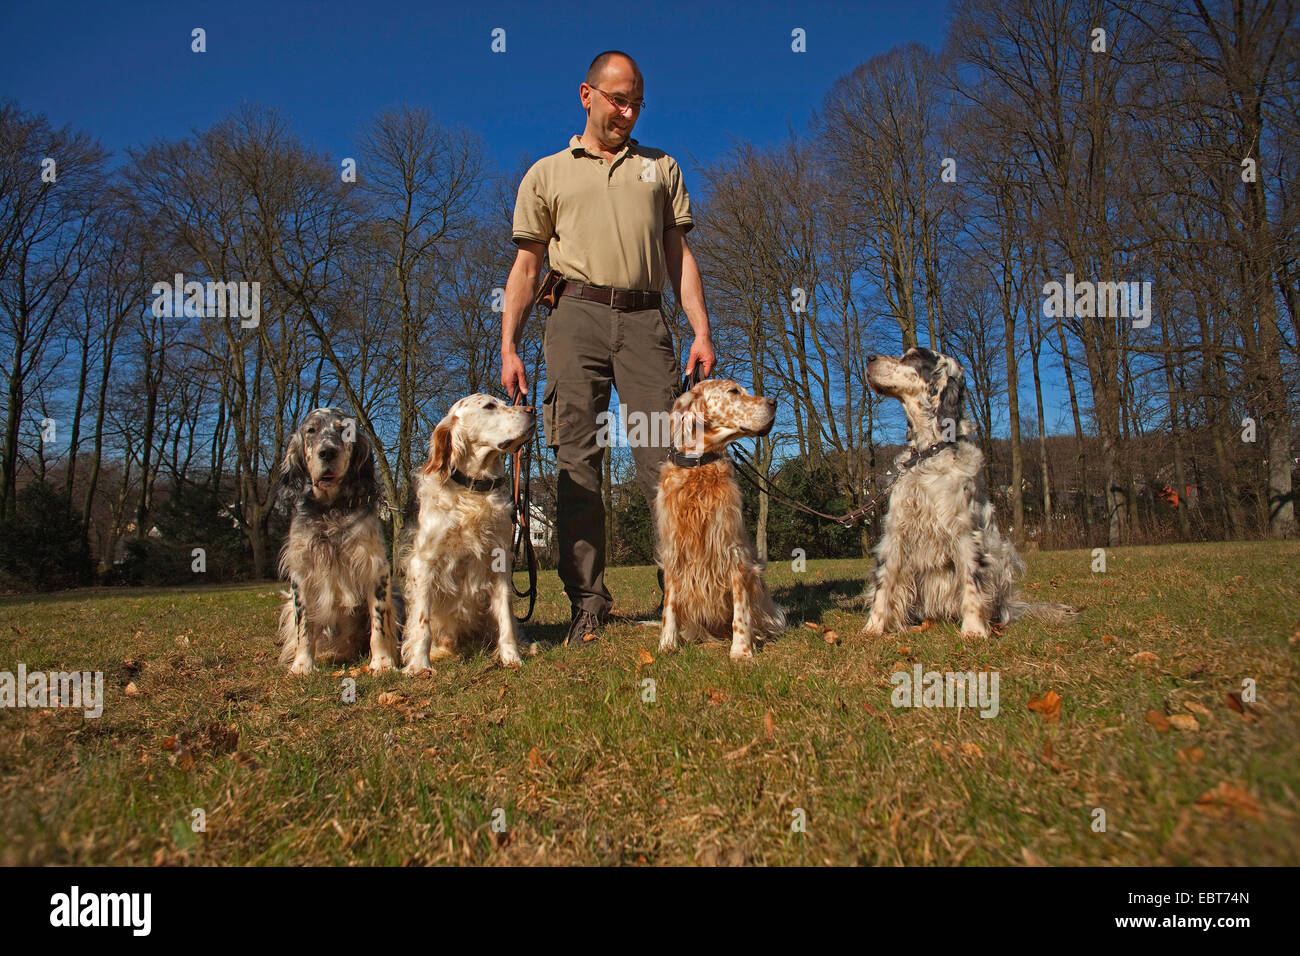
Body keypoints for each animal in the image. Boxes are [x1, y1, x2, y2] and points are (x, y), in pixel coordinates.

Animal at [274, 408, 395, 676]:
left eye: (344, 430)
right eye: (311, 430)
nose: (327, 452)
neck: (330, 508)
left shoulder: (375, 568)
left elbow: (379, 623)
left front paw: (383, 662)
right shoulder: (301, 573)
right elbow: (304, 628)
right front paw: (302, 666)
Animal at [400, 392, 533, 671]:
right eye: (490, 406)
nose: (532, 409)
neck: (473, 490)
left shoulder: (499, 561)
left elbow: (506, 618)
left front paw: (511, 657)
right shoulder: (423, 563)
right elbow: (421, 622)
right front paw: (419, 665)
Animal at [655, 377, 785, 660]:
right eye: (733, 391)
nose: (774, 402)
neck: (699, 466)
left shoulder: (735, 552)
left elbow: (740, 609)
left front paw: (741, 650)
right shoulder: (673, 551)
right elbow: (670, 604)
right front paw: (666, 643)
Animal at [863, 348, 1076, 639]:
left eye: (914, 358)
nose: (869, 358)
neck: (928, 453)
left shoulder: (965, 532)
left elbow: (972, 581)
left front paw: (974, 629)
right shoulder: (896, 533)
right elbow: (884, 582)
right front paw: (873, 626)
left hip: (1002, 555)